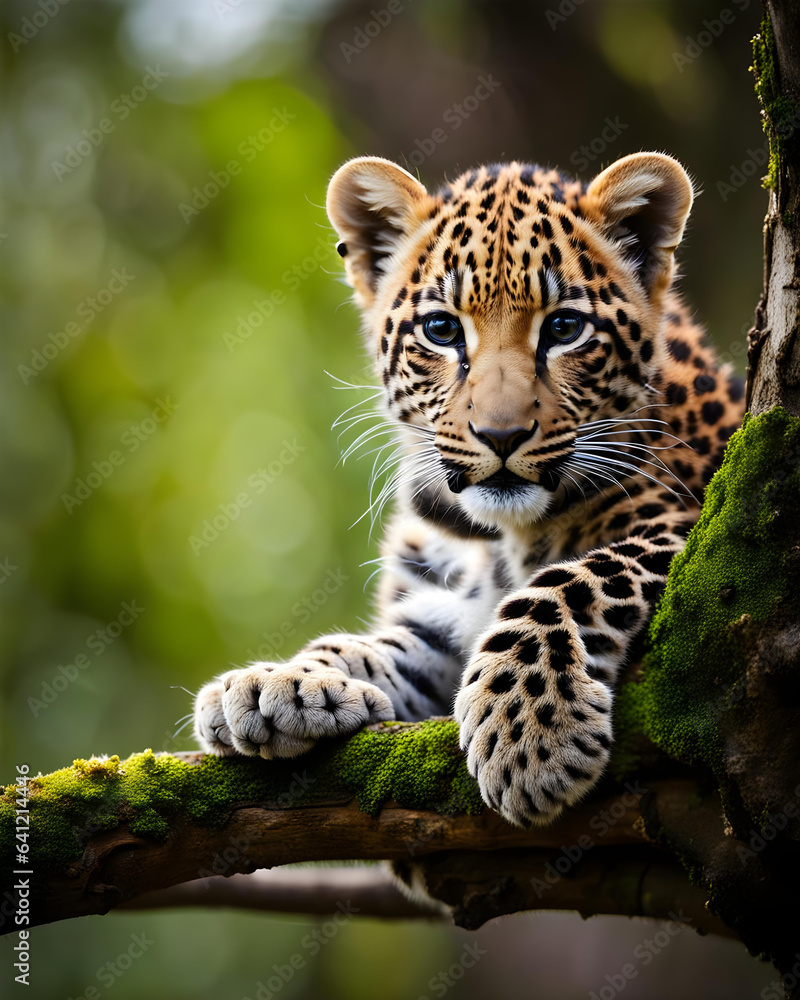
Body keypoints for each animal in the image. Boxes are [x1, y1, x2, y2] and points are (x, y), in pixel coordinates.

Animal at [193, 152, 745, 828]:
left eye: (565, 327)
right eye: (441, 329)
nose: (501, 434)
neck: (496, 537)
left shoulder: (696, 523)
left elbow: (573, 579)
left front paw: (528, 731)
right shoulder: (444, 609)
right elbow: (383, 643)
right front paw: (279, 682)